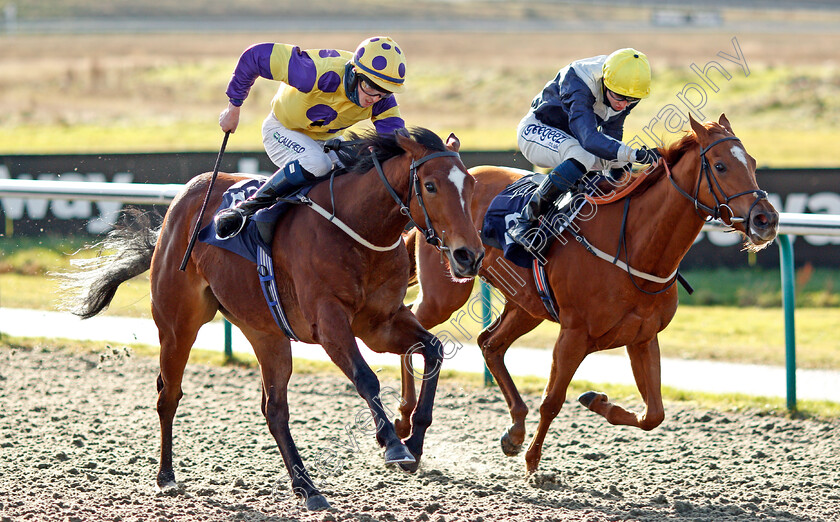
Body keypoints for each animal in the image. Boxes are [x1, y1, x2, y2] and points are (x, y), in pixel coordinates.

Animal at [59, 127, 482, 508]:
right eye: (430, 186)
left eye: (472, 186)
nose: (469, 255)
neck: (357, 229)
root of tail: (179, 204)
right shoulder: (330, 323)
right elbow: (366, 378)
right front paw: (394, 445)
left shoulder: (381, 323)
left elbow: (433, 349)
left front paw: (414, 439)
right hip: (178, 324)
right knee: (169, 395)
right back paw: (166, 477)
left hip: (266, 333)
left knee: (274, 411)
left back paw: (307, 488)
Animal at [398, 114, 776, 472]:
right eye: (721, 166)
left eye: (754, 162)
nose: (766, 220)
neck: (635, 247)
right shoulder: (574, 334)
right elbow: (552, 400)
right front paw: (533, 465)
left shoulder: (642, 337)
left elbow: (653, 414)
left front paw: (596, 401)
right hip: (445, 293)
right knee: (413, 328)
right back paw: (404, 419)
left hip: (527, 306)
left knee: (489, 344)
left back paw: (514, 430)